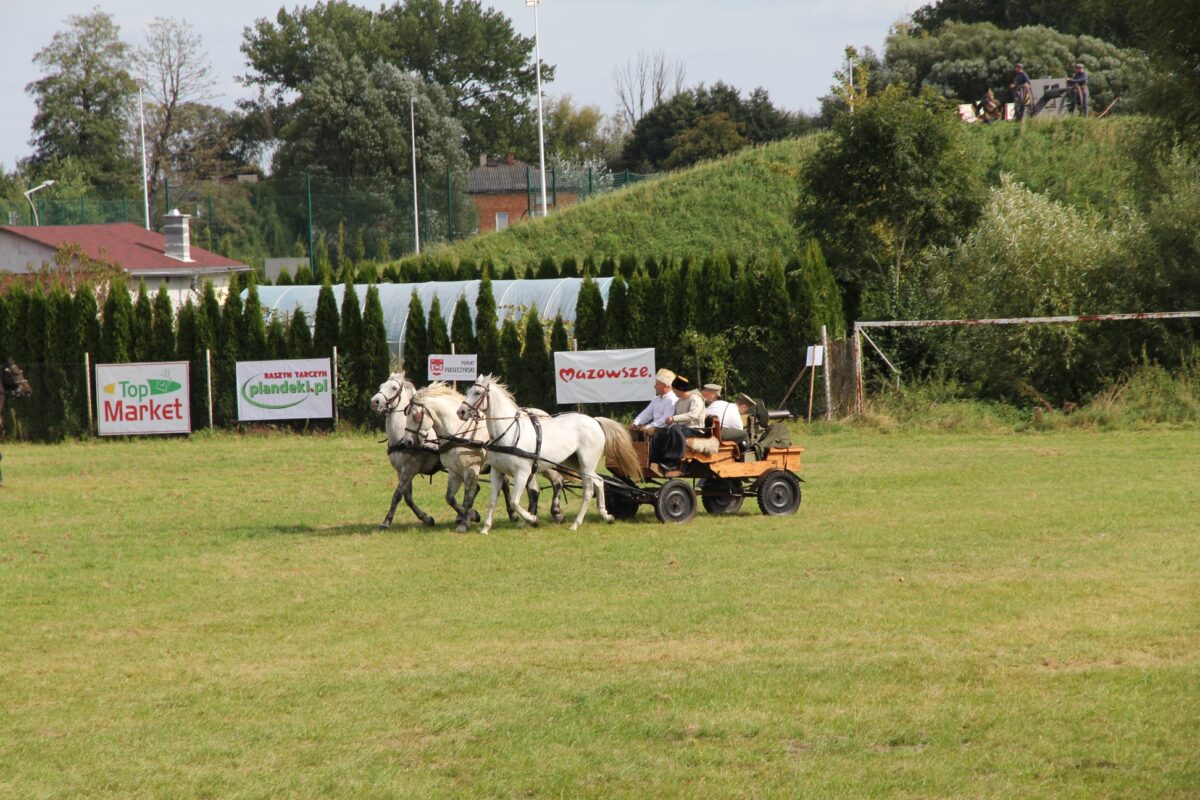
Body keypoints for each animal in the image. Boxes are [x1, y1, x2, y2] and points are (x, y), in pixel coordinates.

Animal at [367, 371, 444, 527]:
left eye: (394, 388)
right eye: (381, 386)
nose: (374, 402)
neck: (403, 435)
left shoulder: (409, 470)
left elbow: (397, 495)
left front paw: (386, 521)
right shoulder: (401, 471)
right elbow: (407, 497)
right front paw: (426, 518)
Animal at [403, 381, 566, 532]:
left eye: (416, 416)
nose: (407, 442)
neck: (458, 432)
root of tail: (545, 415)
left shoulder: (471, 470)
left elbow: (468, 498)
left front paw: (466, 521)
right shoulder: (454, 472)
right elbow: (450, 498)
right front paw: (471, 515)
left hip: (544, 464)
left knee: (557, 481)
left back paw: (556, 513)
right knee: (534, 491)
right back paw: (530, 518)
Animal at [456, 374, 643, 532]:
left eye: (477, 392)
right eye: (468, 392)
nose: (461, 412)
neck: (508, 433)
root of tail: (595, 421)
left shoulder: (522, 473)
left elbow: (515, 502)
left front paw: (532, 519)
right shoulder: (497, 472)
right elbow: (493, 500)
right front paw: (485, 528)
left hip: (586, 464)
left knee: (589, 490)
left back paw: (576, 523)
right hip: (576, 463)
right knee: (599, 481)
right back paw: (606, 515)